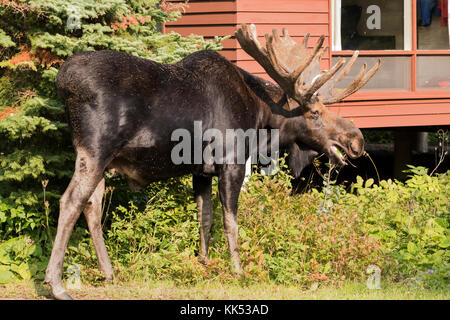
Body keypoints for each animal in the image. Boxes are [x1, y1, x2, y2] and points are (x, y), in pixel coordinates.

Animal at [44, 25, 380, 300]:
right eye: (315, 114)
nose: (357, 139)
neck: (262, 117)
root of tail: (63, 82)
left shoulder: (200, 171)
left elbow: (204, 218)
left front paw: (204, 263)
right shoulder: (232, 162)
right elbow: (231, 221)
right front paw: (238, 270)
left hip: (103, 159)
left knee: (92, 206)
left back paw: (108, 273)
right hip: (95, 149)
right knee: (70, 201)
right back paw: (56, 284)